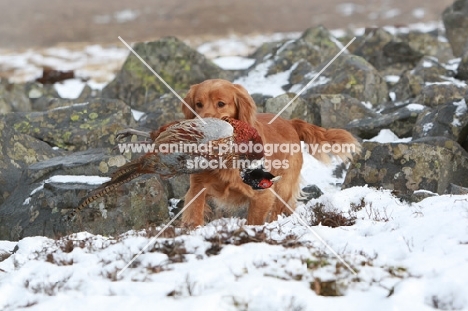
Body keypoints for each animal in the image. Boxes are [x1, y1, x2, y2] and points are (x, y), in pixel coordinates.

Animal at [181, 80, 360, 227]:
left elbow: (253, 222)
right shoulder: (197, 187)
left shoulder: (263, 194)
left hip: (283, 188)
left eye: (221, 103)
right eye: (198, 104)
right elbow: (194, 215)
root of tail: (290, 122)